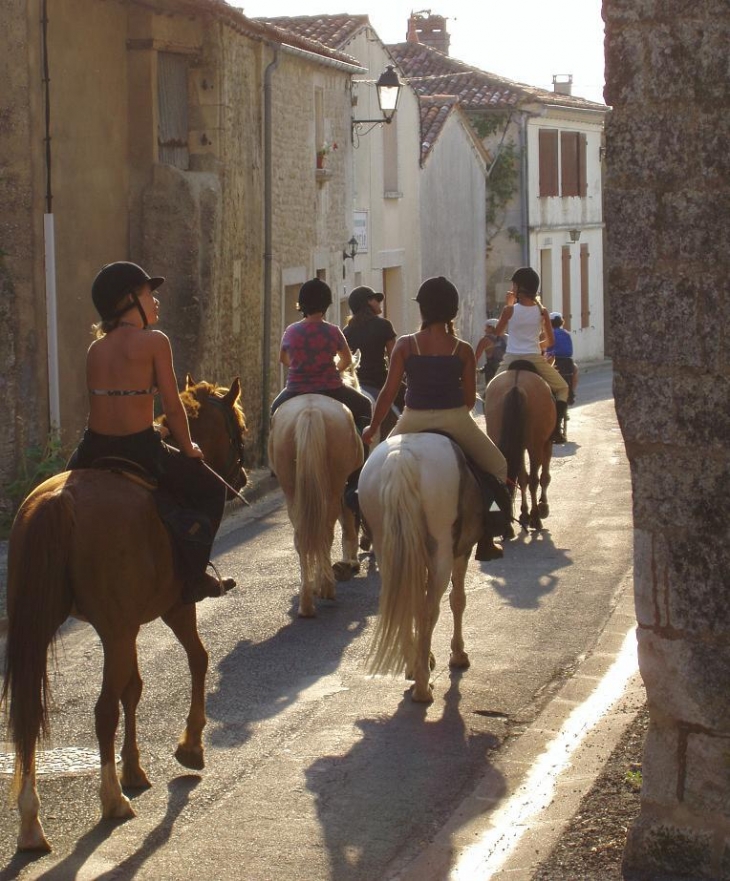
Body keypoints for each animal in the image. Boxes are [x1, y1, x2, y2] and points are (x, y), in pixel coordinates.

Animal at [0, 374, 247, 848]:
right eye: (238, 430)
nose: (242, 476)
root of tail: (58, 501)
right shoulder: (173, 607)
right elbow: (197, 660)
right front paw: (190, 745)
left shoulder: (127, 625)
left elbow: (133, 687)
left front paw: (134, 767)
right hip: (115, 629)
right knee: (101, 711)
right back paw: (111, 800)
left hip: (40, 627)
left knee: (29, 712)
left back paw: (32, 822)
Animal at [266, 396, 362, 616]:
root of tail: (310, 412)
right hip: (334, 487)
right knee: (325, 533)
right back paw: (325, 587)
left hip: (292, 491)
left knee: (303, 537)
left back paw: (306, 601)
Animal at [356, 434, 480, 700]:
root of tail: (401, 458)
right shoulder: (461, 552)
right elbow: (458, 600)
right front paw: (457, 654)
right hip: (441, 554)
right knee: (429, 609)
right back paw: (422, 685)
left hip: (388, 550)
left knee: (403, 600)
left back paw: (415, 668)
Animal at [484, 364, 552, 528]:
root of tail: (516, 385)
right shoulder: (547, 443)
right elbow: (544, 477)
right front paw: (542, 505)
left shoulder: (519, 447)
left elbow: (522, 478)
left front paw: (524, 512)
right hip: (535, 445)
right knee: (534, 479)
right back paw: (535, 517)